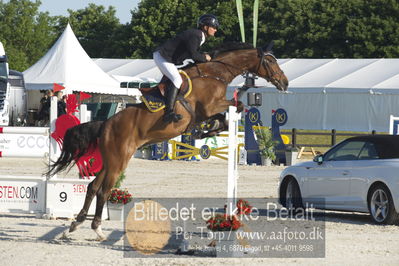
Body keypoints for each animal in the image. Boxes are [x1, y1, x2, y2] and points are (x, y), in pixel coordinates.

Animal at [48, 42, 290, 240]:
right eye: (270, 61)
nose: (285, 83)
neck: (215, 73)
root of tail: (105, 124)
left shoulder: (210, 109)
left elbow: (225, 117)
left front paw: (205, 131)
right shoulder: (210, 106)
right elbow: (236, 106)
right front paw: (206, 130)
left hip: (110, 161)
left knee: (92, 187)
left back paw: (75, 225)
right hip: (118, 161)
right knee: (104, 190)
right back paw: (96, 229)